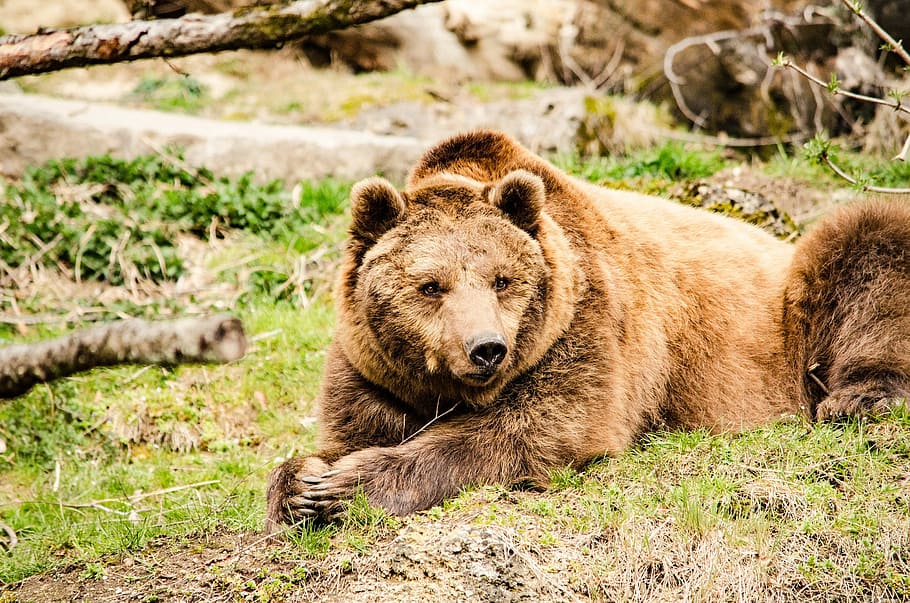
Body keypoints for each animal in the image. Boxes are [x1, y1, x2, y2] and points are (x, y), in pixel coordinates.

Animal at [265, 130, 910, 531]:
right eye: (430, 285)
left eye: (502, 280)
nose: (486, 349)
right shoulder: (373, 369)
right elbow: (344, 429)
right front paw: (303, 484)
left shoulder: (585, 330)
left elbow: (535, 431)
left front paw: (347, 485)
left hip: (791, 312)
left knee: (870, 242)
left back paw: (860, 397)